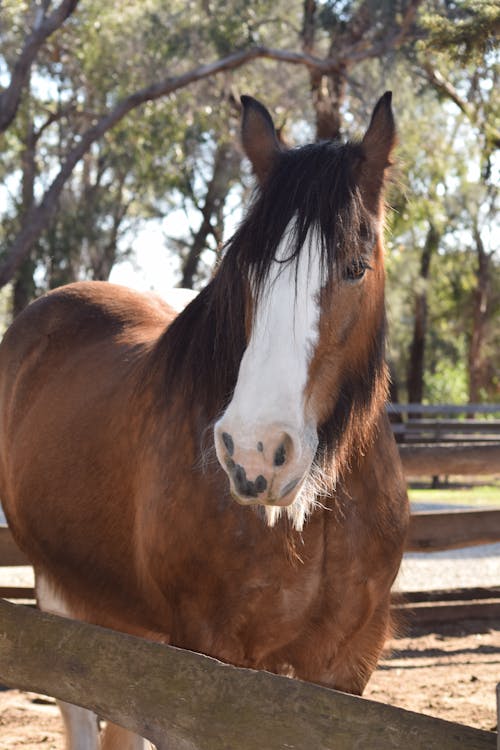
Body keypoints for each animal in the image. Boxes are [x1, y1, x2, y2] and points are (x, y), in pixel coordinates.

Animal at [0, 95, 408, 750]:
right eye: (246, 270)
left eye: (354, 267)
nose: (253, 451)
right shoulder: (208, 662)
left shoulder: (345, 666)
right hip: (60, 590)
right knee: (79, 709)